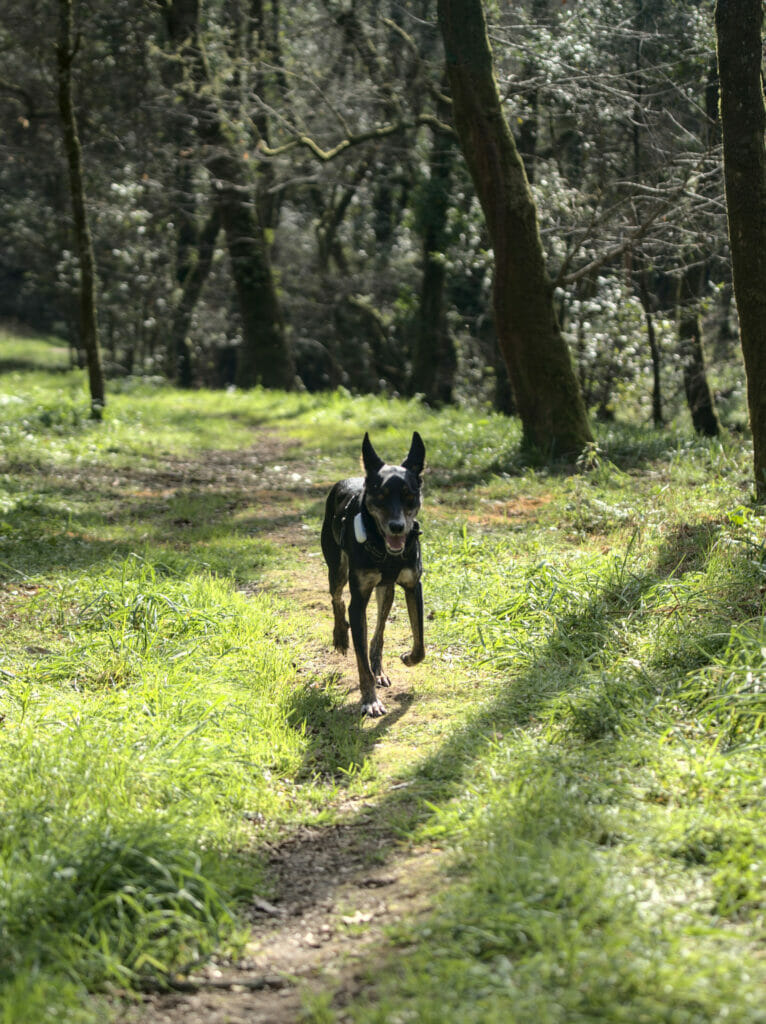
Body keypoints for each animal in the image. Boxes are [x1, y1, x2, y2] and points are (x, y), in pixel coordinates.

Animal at [319, 430, 423, 712]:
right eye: (381, 495)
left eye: (409, 494)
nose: (397, 527)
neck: (384, 549)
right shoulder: (358, 600)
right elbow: (360, 659)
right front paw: (370, 701)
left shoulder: (413, 586)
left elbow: (420, 643)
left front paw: (408, 657)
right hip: (336, 568)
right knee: (337, 599)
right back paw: (340, 636)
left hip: (386, 590)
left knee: (378, 634)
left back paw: (379, 669)